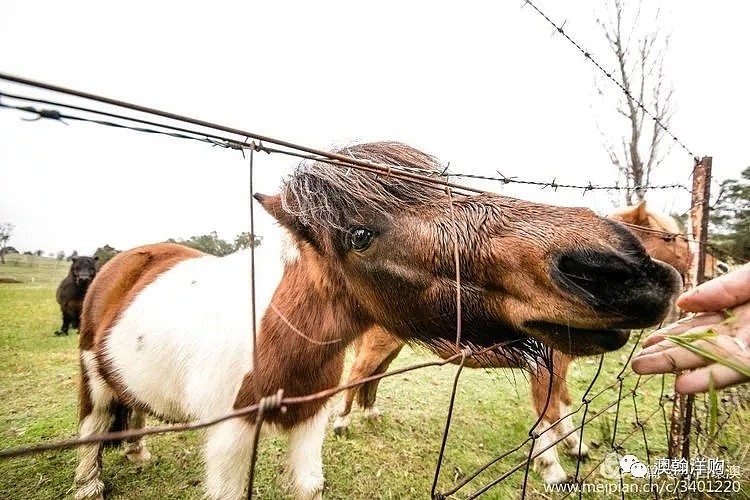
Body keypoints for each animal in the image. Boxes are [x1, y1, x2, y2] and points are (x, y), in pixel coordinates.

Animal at [334, 198, 712, 484]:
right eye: (668, 237)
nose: (675, 279)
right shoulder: (544, 368)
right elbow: (547, 416)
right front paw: (552, 469)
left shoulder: (557, 368)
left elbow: (563, 406)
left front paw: (576, 447)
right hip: (380, 345)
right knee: (357, 375)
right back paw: (342, 423)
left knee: (373, 376)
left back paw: (370, 414)